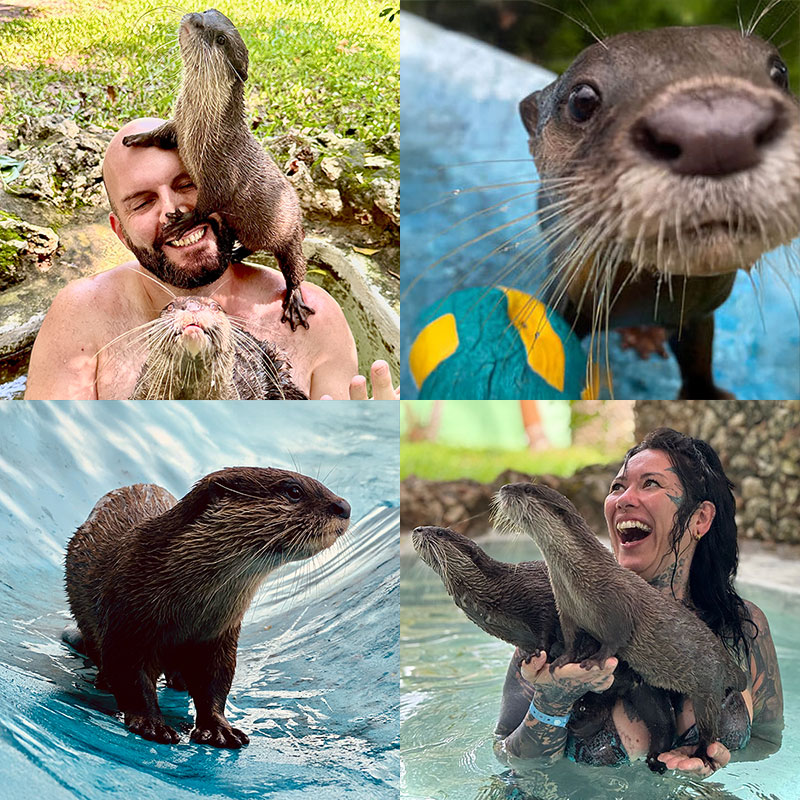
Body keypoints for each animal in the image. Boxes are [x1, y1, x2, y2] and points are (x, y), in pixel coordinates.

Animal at [63, 467, 350, 747]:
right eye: (294, 491)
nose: (344, 506)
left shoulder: (220, 634)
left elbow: (216, 681)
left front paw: (219, 729)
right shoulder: (127, 622)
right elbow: (131, 677)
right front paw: (152, 724)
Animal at [123, 9, 313, 330]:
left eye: (221, 38)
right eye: (208, 12)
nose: (195, 17)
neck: (200, 124)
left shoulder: (224, 168)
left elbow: (212, 200)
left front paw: (184, 221)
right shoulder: (178, 125)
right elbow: (163, 132)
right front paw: (139, 137)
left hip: (290, 232)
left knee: (295, 266)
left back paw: (295, 300)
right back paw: (237, 252)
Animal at [520, 26, 800, 398]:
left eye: (780, 73)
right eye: (582, 99)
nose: (715, 132)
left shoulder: (698, 314)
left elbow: (698, 356)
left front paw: (706, 394)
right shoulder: (564, 298)